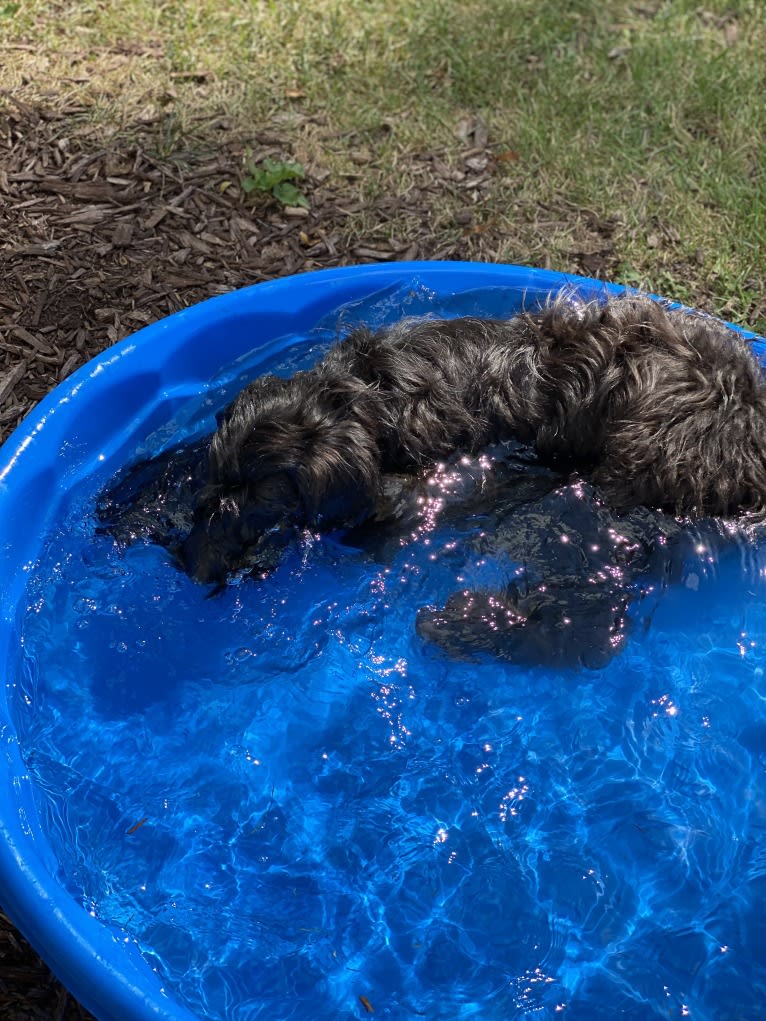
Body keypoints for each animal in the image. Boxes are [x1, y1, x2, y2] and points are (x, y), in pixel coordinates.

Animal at [96, 292, 766, 669]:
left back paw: (468, 624)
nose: (190, 564)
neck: (368, 398)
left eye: (257, 508)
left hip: (628, 493)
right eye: (216, 493)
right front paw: (141, 499)